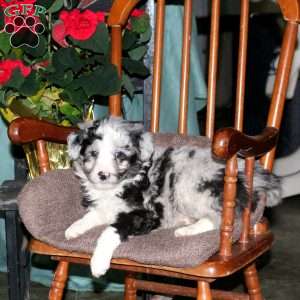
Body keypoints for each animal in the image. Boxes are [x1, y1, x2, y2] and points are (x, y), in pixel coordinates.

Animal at [65, 116, 282, 278]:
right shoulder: (105, 208)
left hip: (189, 186)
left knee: (219, 219)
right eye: (93, 153)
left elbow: (110, 231)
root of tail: (248, 174)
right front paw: (73, 229)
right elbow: (92, 215)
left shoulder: (145, 215)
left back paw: (186, 230)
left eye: (119, 155)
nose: (103, 175)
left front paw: (98, 263)